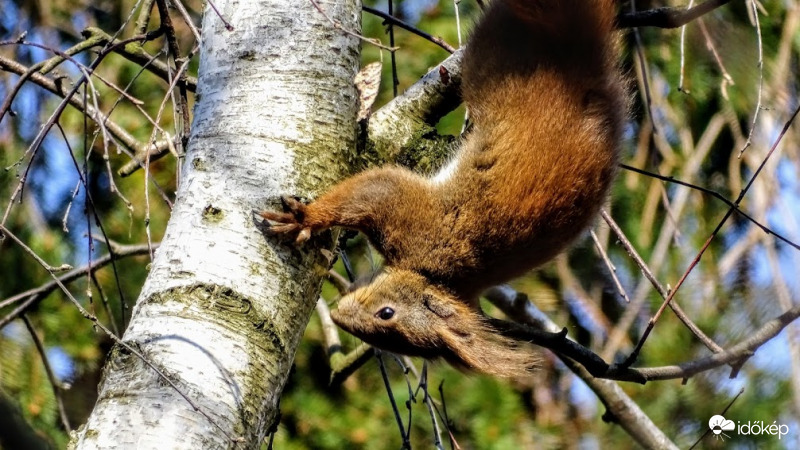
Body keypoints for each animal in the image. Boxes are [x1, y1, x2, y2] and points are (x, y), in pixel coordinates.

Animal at [258, 0, 624, 378]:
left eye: (387, 320)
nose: (338, 316)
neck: (437, 276)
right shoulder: (413, 217)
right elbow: (372, 190)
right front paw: (305, 219)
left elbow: (372, 188)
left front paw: (305, 221)